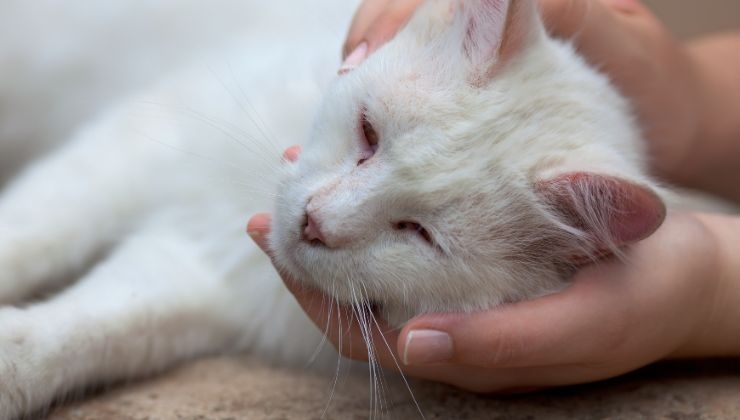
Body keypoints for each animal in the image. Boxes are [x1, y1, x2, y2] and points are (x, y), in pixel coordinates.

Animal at [0, 0, 676, 416]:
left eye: (419, 233)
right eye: (369, 133)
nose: (315, 222)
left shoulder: (192, 275)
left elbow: (82, 329)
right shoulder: (129, 150)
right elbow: (32, 229)